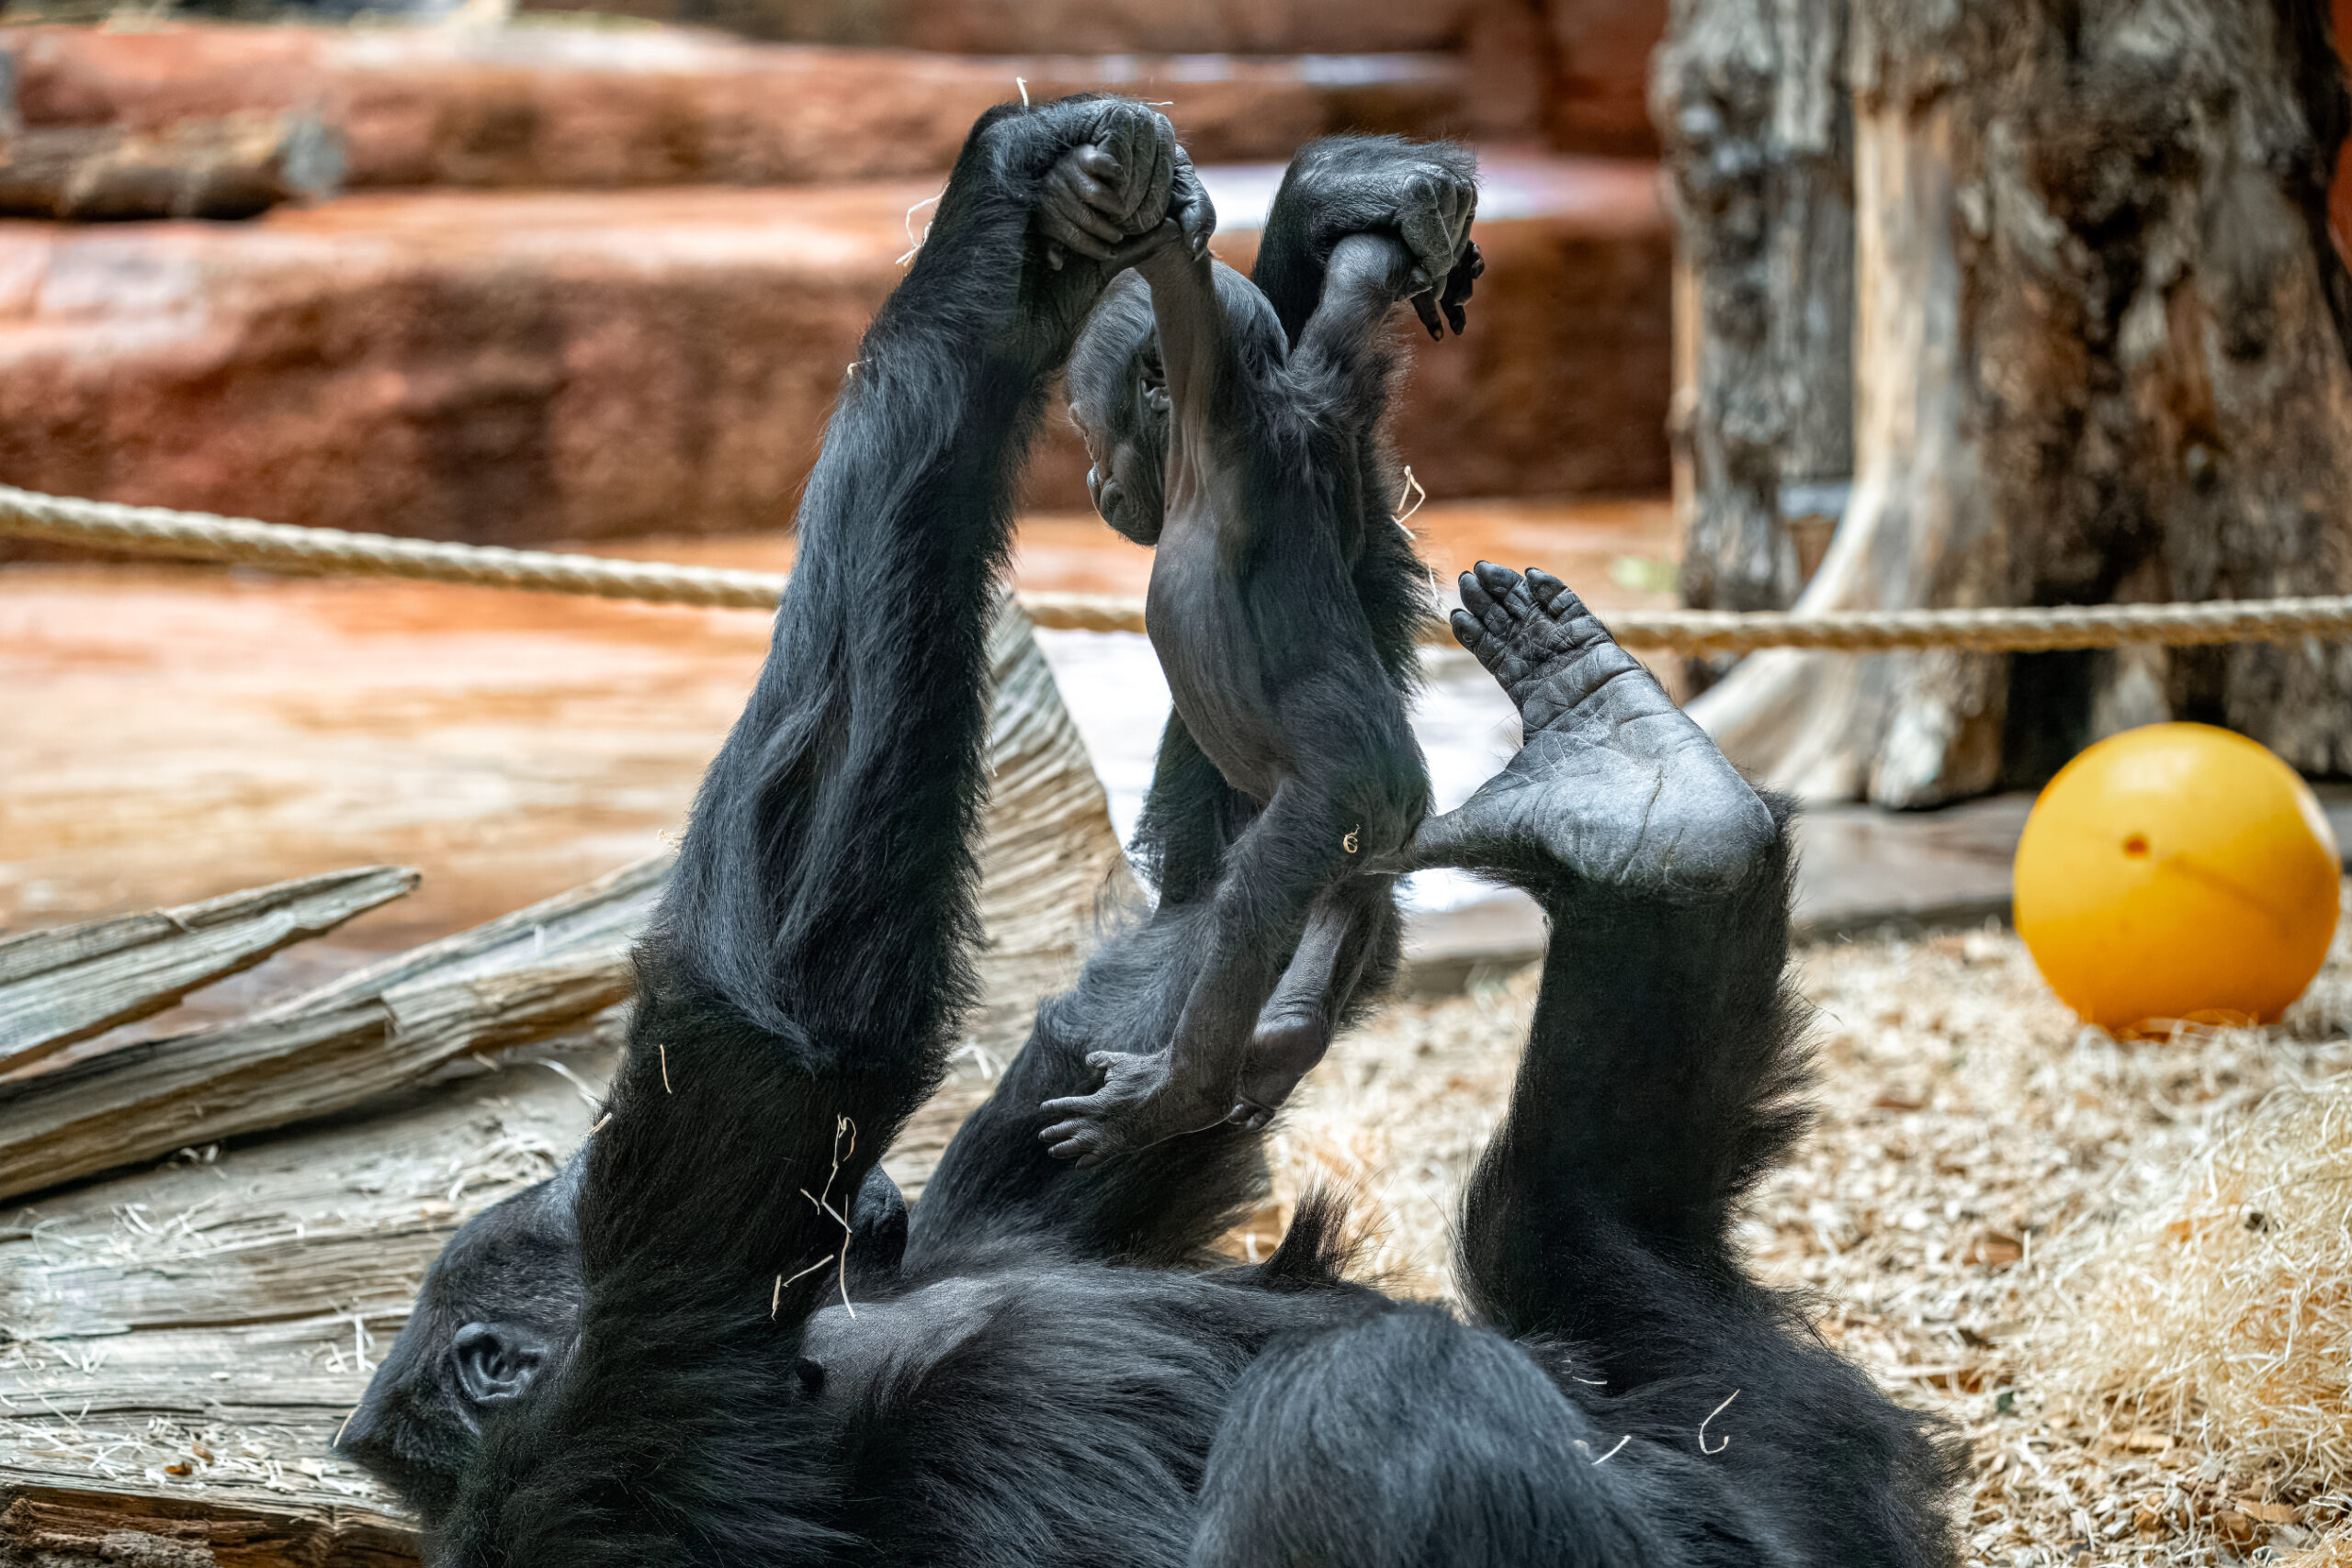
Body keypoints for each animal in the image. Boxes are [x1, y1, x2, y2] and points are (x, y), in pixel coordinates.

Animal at [1044, 160, 1467, 1166]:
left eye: (1089, 426)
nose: (1093, 480)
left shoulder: (1221, 400)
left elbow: (1184, 285)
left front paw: (1168, 209)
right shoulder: (1322, 395)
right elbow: (1349, 307)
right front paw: (1396, 218)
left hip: (1330, 810)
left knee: (1247, 914)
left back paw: (1175, 1096)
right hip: (1378, 837)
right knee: (1345, 901)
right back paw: (1288, 1031)